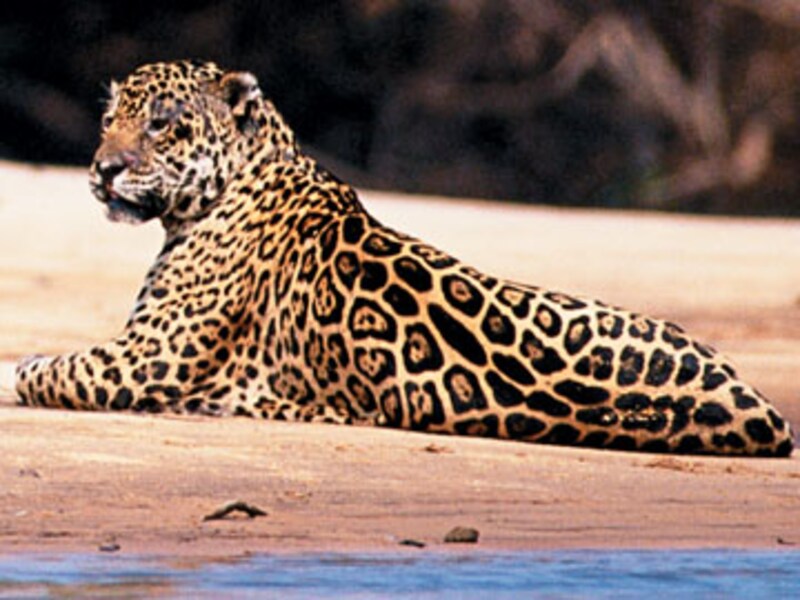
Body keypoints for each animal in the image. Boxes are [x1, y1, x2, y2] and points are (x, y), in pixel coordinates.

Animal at [15, 60, 794, 456]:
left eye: (162, 125)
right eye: (108, 119)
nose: (103, 169)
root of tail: (763, 410)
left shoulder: (145, 361)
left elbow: (39, 368)